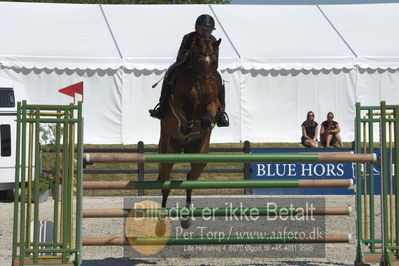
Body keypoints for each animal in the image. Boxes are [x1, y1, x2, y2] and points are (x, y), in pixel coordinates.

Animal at [158, 36, 223, 230]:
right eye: (199, 61)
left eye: (214, 61)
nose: (207, 93)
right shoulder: (177, 100)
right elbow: (184, 106)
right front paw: (188, 124)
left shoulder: (213, 102)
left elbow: (210, 110)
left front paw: (205, 122)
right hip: (168, 150)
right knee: (165, 181)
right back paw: (162, 220)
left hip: (199, 155)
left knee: (189, 180)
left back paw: (186, 218)